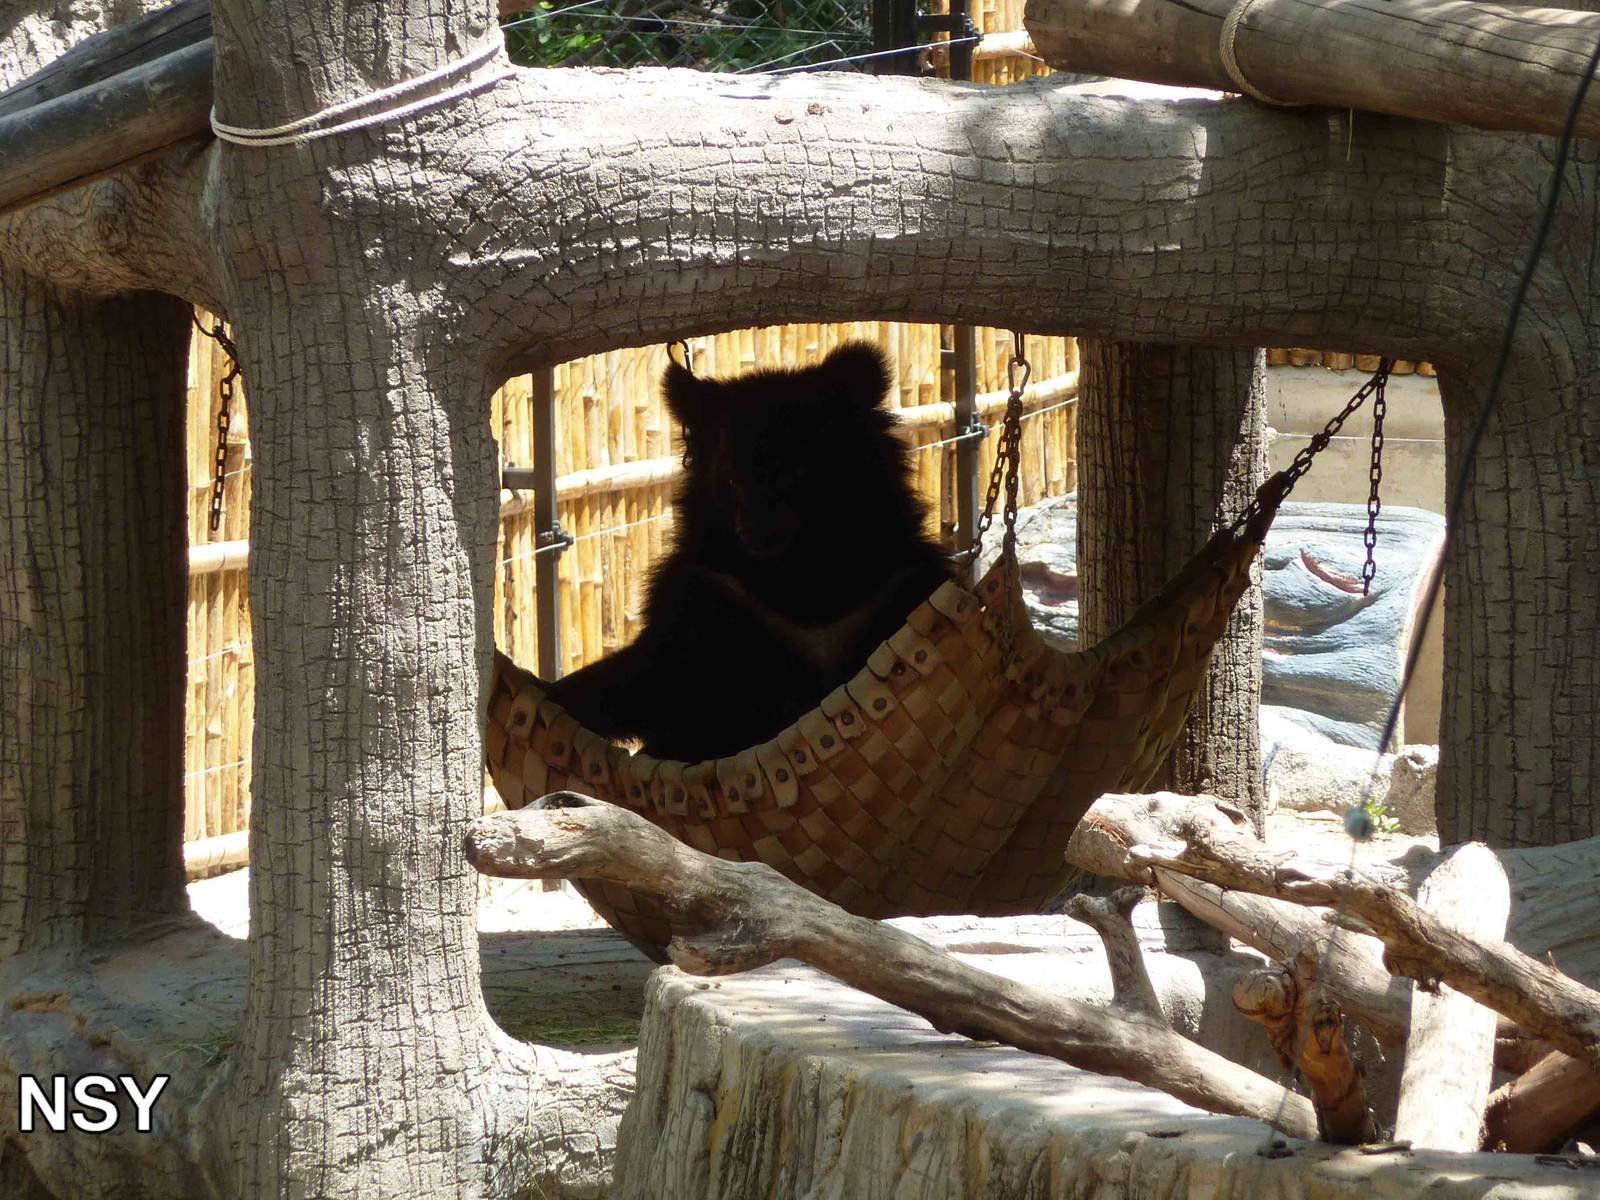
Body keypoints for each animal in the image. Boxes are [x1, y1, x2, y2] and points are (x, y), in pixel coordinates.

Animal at [545, 341, 953, 762]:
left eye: (795, 469)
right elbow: (653, 676)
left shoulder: (899, 586)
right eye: (730, 480)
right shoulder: (705, 593)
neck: (797, 572)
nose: (753, 530)